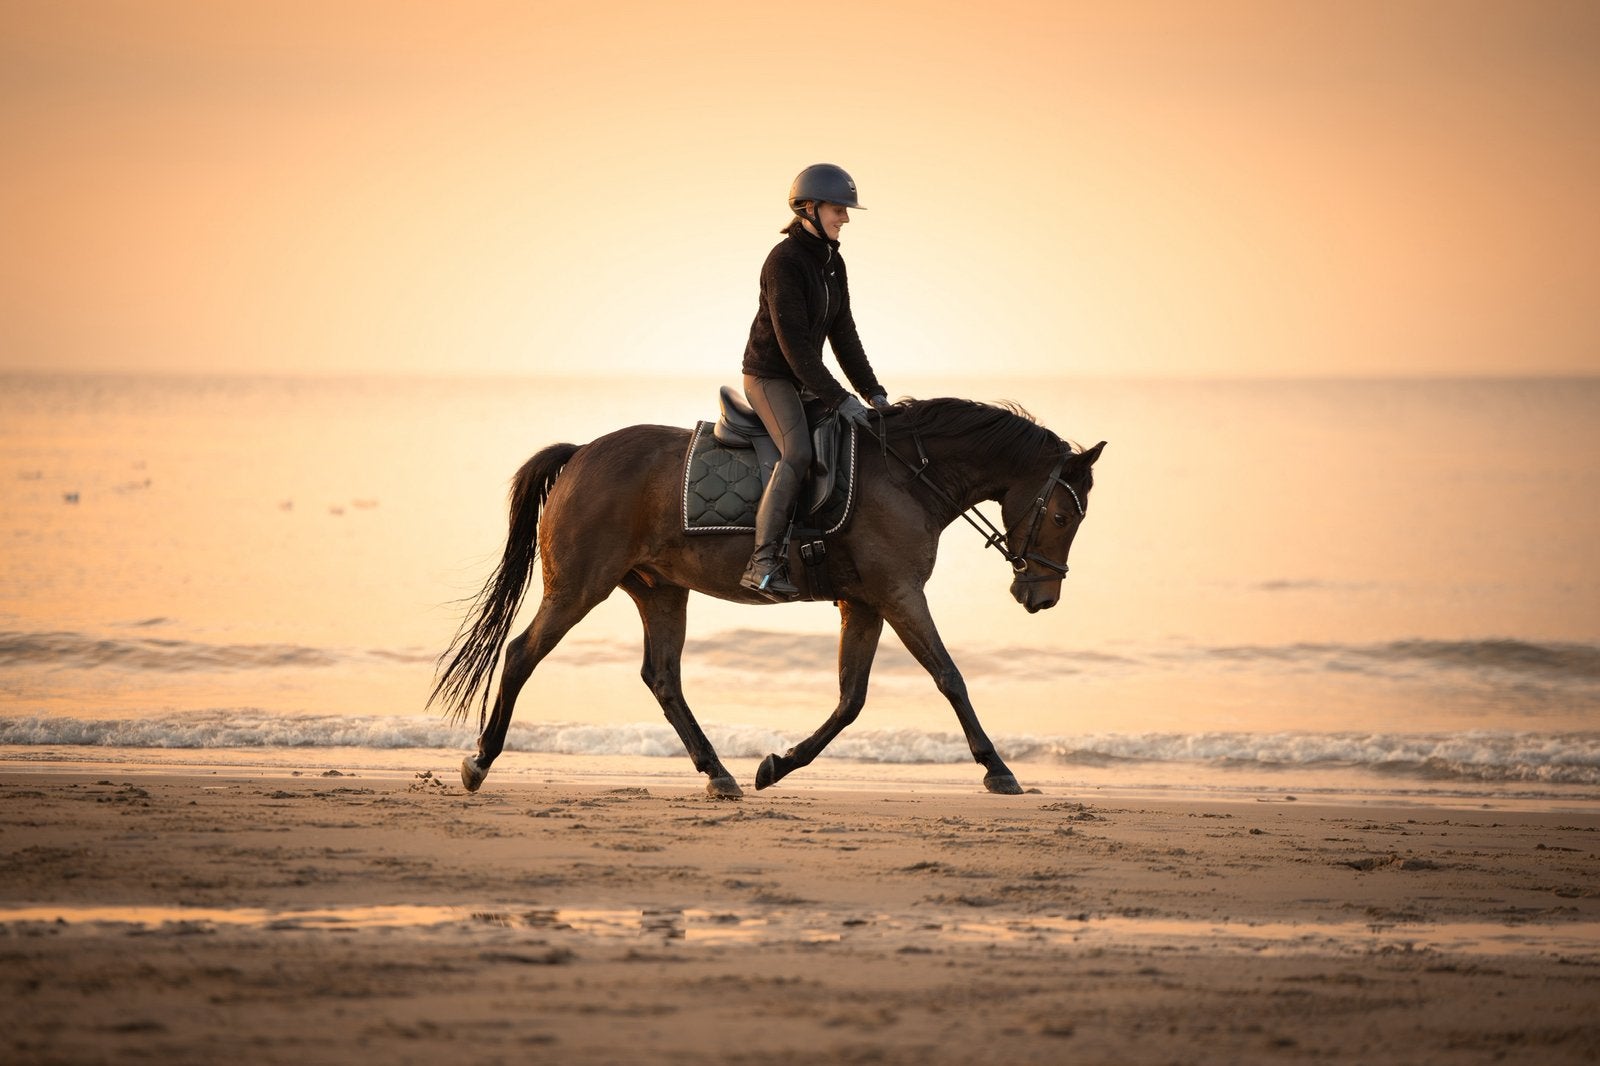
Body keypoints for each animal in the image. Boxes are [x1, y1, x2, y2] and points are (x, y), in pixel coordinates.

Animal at [430, 397, 1105, 798]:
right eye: (1064, 515)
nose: (1041, 596)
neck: (907, 476)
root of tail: (580, 455)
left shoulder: (865, 603)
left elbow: (851, 700)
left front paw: (776, 764)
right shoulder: (899, 594)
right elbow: (949, 677)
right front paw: (998, 768)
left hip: (660, 590)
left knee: (663, 678)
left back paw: (720, 773)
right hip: (578, 586)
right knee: (522, 654)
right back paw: (479, 762)